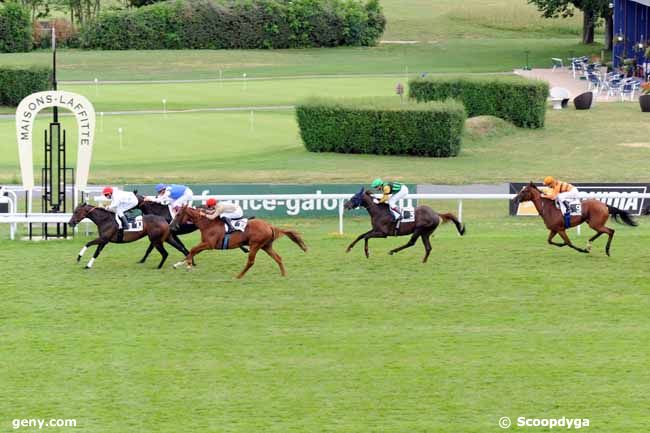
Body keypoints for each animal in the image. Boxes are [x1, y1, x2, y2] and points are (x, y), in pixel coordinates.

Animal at [170, 205, 306, 278]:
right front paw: (179, 264)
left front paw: (188, 265)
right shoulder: (205, 244)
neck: (208, 224)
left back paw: (238, 276)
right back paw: (283, 274)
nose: (171, 226)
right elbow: (192, 251)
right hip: (266, 246)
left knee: (251, 262)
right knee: (278, 258)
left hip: (255, 245)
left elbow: (193, 249)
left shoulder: (209, 244)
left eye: (178, 214)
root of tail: (269, 226)